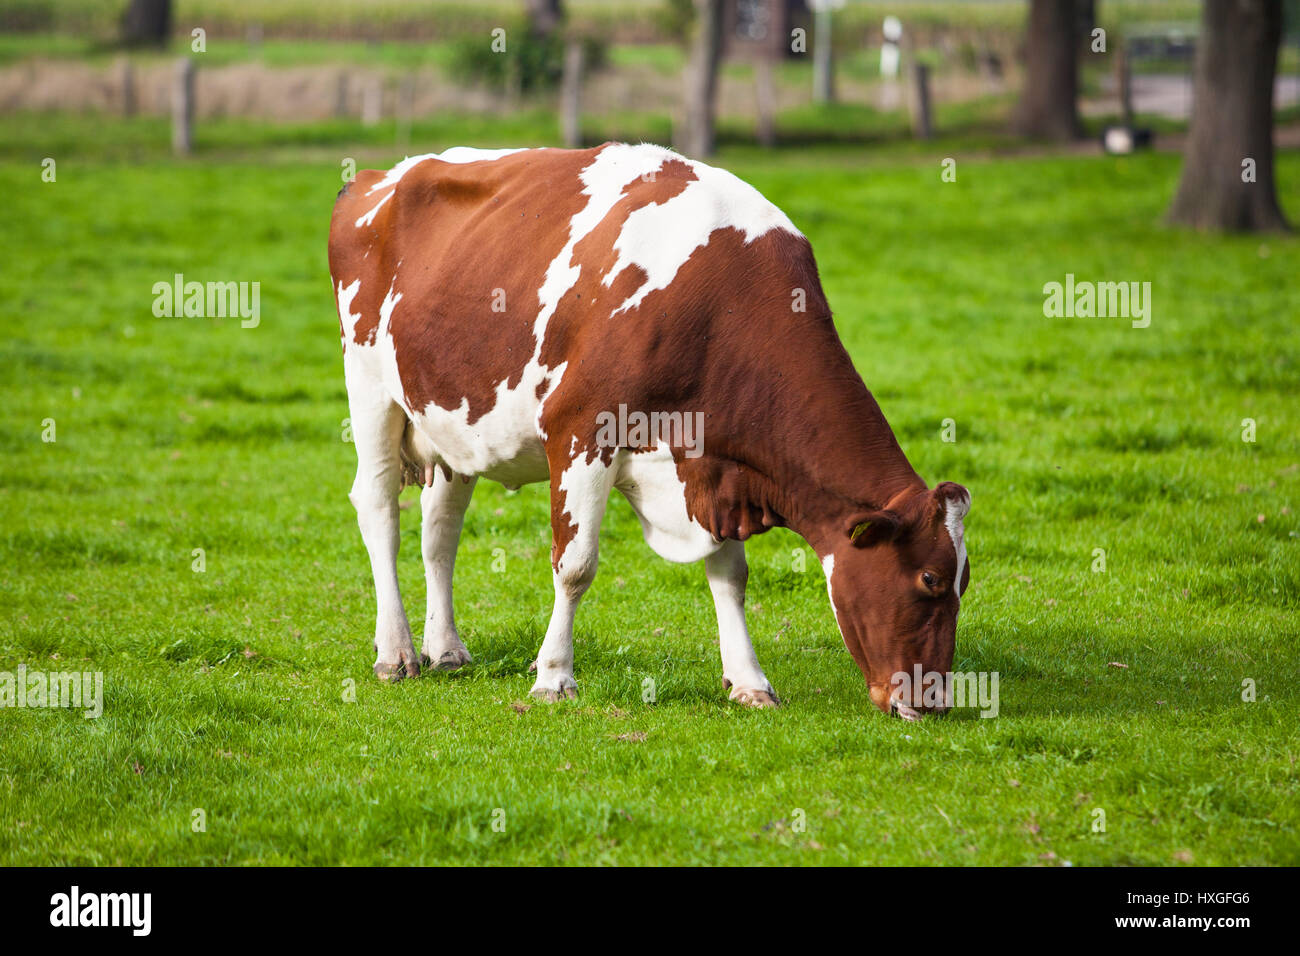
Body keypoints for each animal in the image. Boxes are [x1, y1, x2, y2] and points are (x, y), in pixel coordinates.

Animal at [328, 143, 971, 719]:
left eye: (963, 583)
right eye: (931, 578)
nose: (934, 702)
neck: (716, 304)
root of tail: (382, 176)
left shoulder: (716, 466)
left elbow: (731, 575)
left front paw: (749, 681)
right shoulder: (582, 429)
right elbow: (575, 565)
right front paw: (553, 678)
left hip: (451, 419)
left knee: (440, 533)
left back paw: (446, 649)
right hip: (371, 389)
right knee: (379, 510)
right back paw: (396, 652)